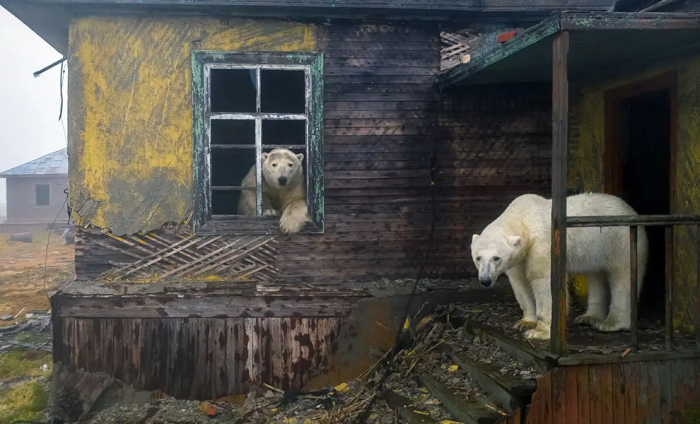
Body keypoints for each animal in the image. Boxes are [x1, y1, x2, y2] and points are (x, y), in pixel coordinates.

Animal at [468, 194, 648, 340]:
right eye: (478, 258)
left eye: (496, 258)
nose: (485, 280)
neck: (523, 219)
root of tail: (632, 211)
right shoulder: (519, 258)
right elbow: (520, 283)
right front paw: (525, 322)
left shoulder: (542, 245)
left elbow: (544, 281)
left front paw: (539, 332)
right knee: (596, 275)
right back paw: (589, 317)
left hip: (620, 241)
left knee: (622, 278)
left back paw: (610, 323)